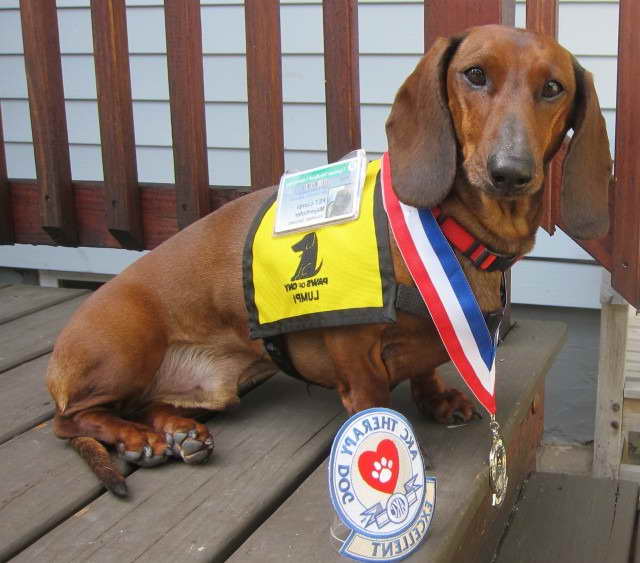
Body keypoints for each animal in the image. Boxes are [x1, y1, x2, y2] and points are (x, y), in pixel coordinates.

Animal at [48, 25, 608, 498]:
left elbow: (426, 369)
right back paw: (134, 438)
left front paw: (436, 399)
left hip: (213, 390)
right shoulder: (353, 348)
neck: (449, 228)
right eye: (474, 74)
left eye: (553, 87)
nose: (510, 172)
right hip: (125, 350)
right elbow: (373, 396)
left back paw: (178, 431)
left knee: (150, 404)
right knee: (70, 420)